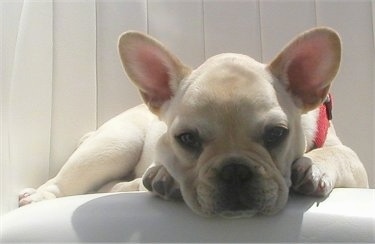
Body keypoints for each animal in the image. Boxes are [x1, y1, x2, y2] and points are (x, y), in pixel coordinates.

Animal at [19, 26, 368, 217]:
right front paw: (168, 176)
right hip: (114, 144)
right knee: (65, 182)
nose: (234, 170)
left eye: (276, 134)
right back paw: (38, 196)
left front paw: (312, 166)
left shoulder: (356, 168)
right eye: (186, 139)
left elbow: (336, 152)